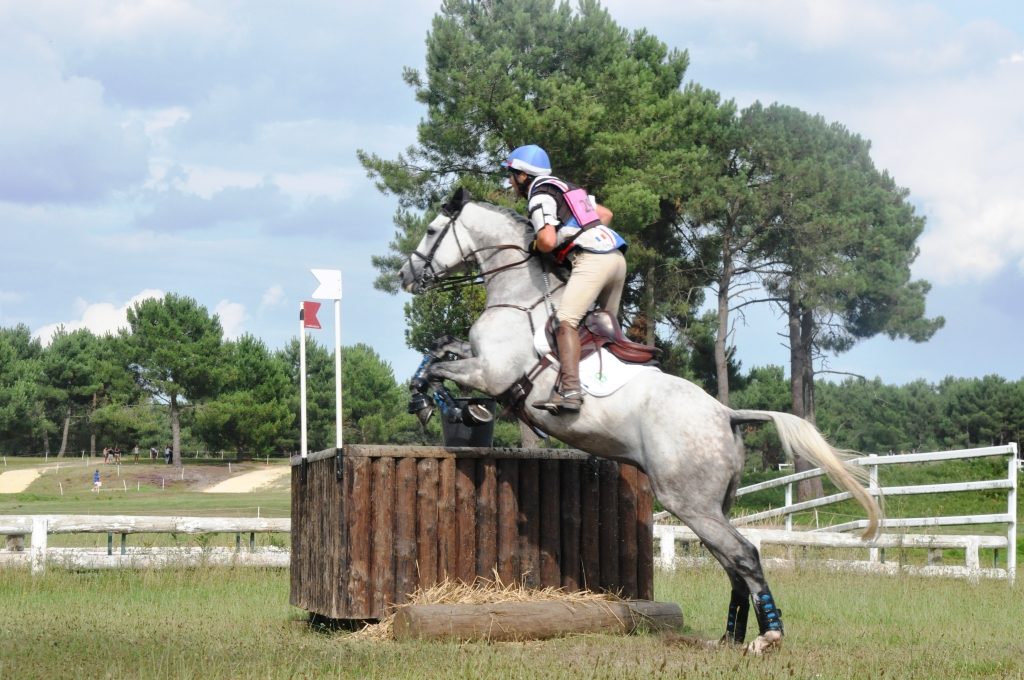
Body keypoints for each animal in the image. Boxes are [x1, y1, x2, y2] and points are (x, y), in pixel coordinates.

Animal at [397, 187, 880, 655]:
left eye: (431, 230)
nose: (405, 274)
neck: (519, 297)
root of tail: (725, 413)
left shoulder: (491, 372)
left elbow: (441, 365)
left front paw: (434, 401)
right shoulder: (479, 362)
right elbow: (441, 348)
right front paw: (436, 397)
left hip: (688, 502)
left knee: (744, 554)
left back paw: (768, 637)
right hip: (711, 506)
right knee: (731, 562)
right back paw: (730, 638)